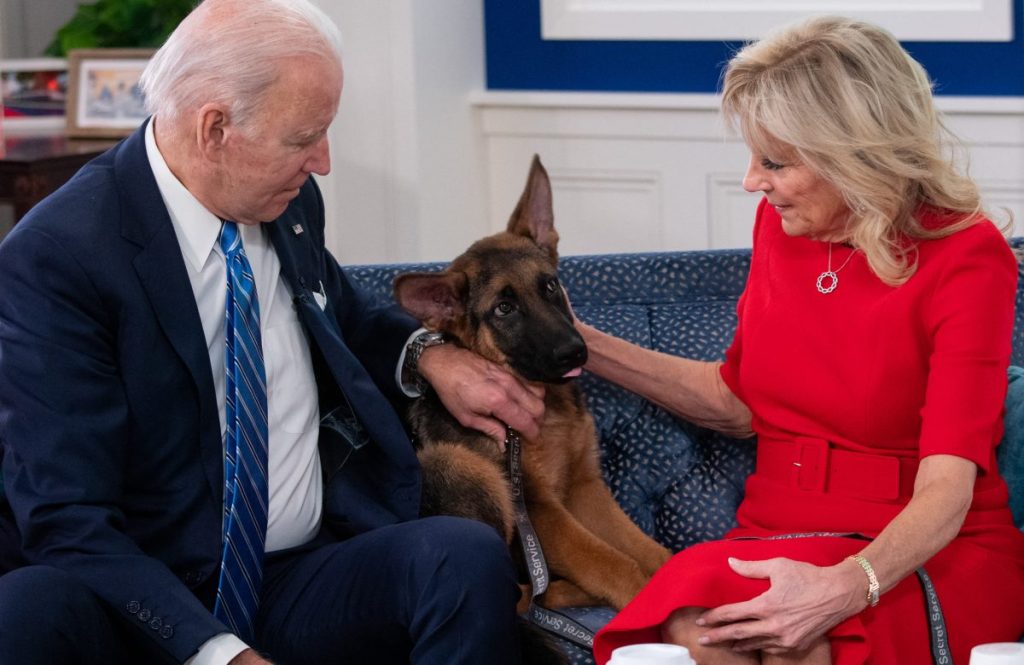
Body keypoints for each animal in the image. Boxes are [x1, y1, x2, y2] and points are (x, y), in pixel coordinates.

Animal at [391, 155, 671, 610]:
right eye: (504, 309)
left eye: (550, 285)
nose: (574, 352)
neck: (548, 405)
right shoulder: (541, 509)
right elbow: (613, 562)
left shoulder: (583, 487)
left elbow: (650, 551)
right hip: (460, 467)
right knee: (519, 596)